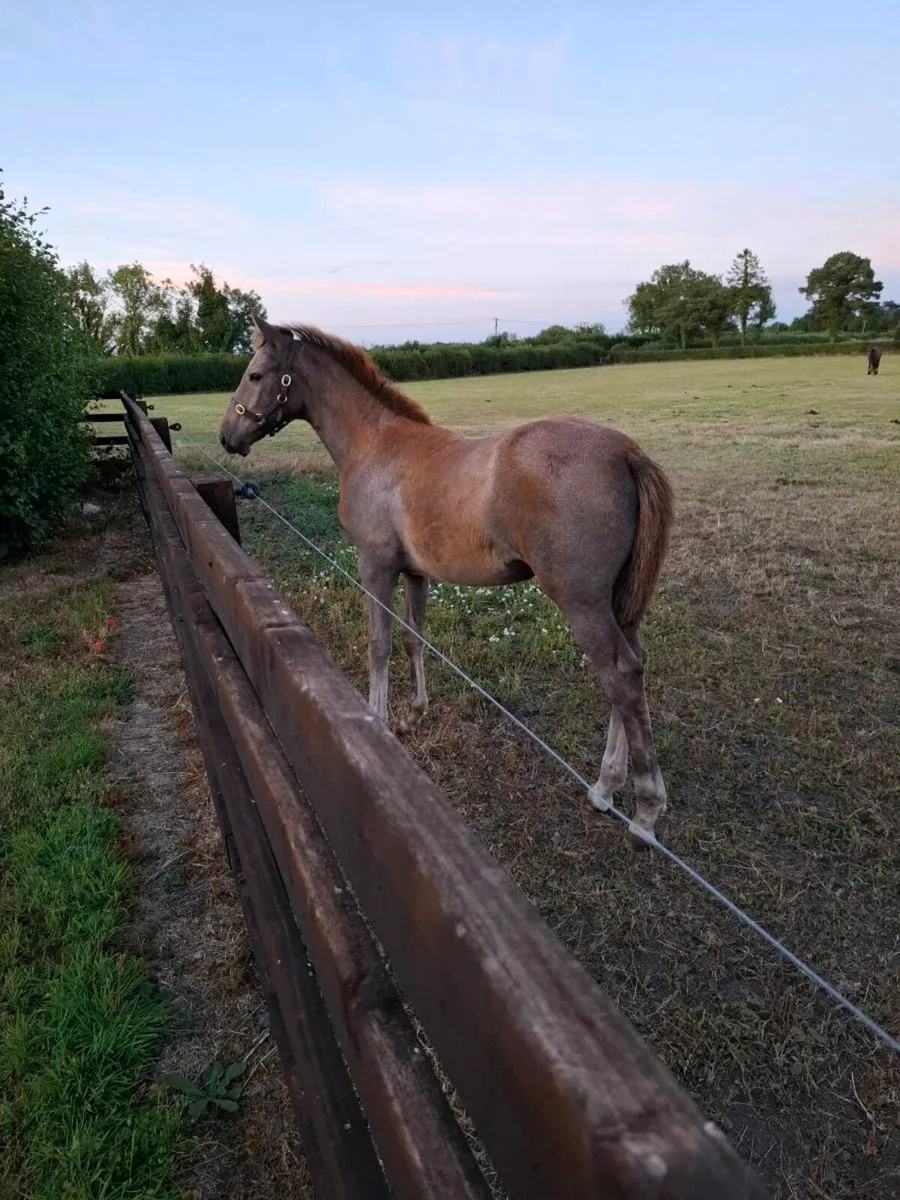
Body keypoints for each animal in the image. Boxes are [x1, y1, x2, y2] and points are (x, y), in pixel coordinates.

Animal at [218, 315, 675, 841]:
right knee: (633, 669)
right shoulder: (416, 573)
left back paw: (644, 812)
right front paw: (414, 714)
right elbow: (414, 639)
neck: (374, 446)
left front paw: (379, 722)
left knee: (620, 675)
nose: (227, 436)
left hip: (583, 604)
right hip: (619, 605)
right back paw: (605, 787)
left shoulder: (374, 567)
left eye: (254, 374)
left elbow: (380, 643)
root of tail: (625, 453)